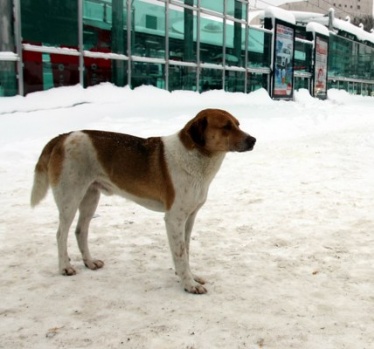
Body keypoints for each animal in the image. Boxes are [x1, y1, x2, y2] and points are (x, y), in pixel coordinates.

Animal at [30, 109, 256, 294]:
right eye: (226, 126)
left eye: (238, 124)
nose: (253, 140)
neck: (196, 157)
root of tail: (62, 137)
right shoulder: (174, 219)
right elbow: (180, 253)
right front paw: (188, 284)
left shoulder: (189, 217)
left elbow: (186, 251)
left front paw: (189, 276)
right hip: (70, 198)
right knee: (61, 234)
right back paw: (65, 267)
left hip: (90, 197)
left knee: (80, 231)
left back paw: (90, 262)